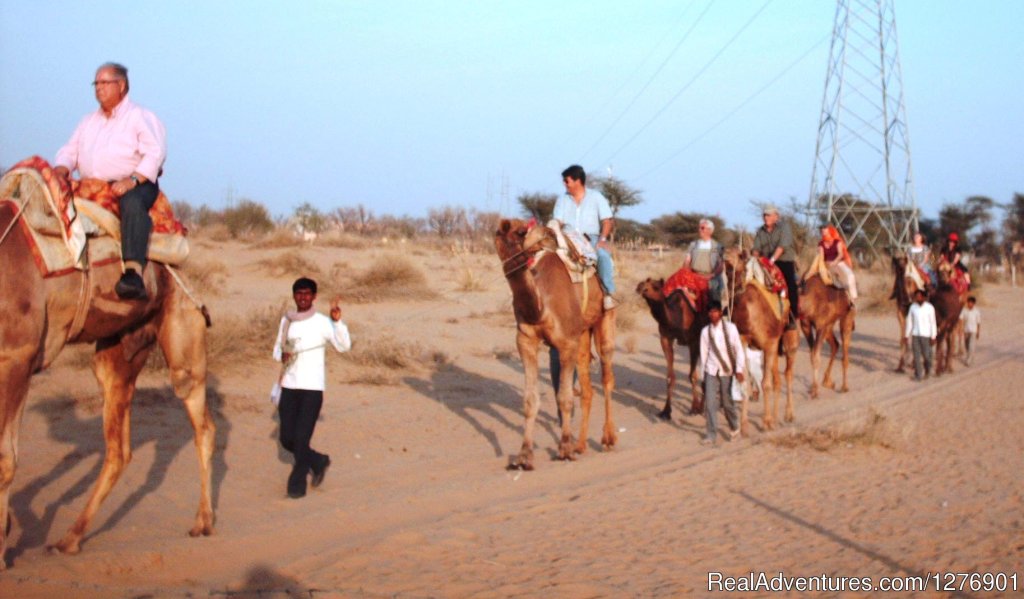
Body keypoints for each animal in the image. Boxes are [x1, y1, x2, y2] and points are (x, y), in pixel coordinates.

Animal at [0, 190, 211, 565]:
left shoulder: (16, 358)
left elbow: (5, 461)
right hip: (116, 353)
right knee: (119, 450)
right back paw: (69, 539)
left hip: (183, 336)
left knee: (202, 424)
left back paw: (203, 522)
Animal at [495, 217, 614, 468]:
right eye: (498, 240)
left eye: (522, 233)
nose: (515, 263)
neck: (540, 308)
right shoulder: (525, 342)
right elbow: (530, 400)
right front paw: (524, 456)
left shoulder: (566, 344)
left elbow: (565, 398)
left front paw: (564, 449)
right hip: (582, 333)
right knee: (588, 387)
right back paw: (581, 445)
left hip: (604, 320)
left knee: (607, 375)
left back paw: (608, 439)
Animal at [634, 278, 708, 417]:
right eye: (643, 283)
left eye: (656, 286)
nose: (640, 287)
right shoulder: (665, 339)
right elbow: (670, 376)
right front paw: (666, 410)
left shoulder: (693, 342)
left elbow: (692, 376)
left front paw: (694, 408)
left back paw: (703, 407)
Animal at [729, 254, 798, 432]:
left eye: (739, 266)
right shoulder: (743, 341)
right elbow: (745, 382)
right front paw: (744, 425)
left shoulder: (770, 343)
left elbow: (766, 384)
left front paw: (766, 422)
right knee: (777, 380)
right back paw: (775, 417)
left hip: (789, 340)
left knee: (788, 373)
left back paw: (789, 415)